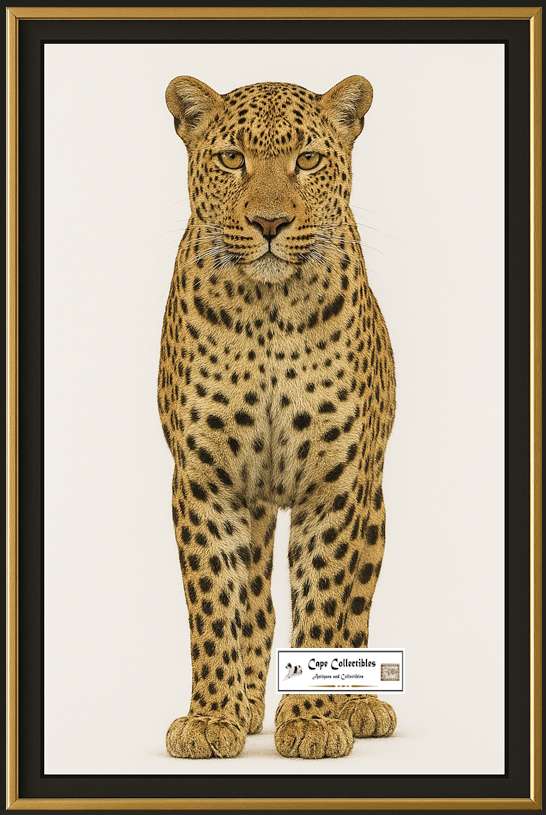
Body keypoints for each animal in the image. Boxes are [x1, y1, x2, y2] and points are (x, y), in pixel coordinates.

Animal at [158, 74, 397, 760]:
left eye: (308, 160)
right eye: (231, 158)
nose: (268, 222)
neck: (268, 310)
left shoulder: (335, 484)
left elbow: (323, 608)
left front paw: (314, 722)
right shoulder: (205, 483)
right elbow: (216, 605)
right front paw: (211, 717)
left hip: (374, 503)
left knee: (356, 609)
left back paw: (359, 707)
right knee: (257, 606)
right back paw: (243, 705)